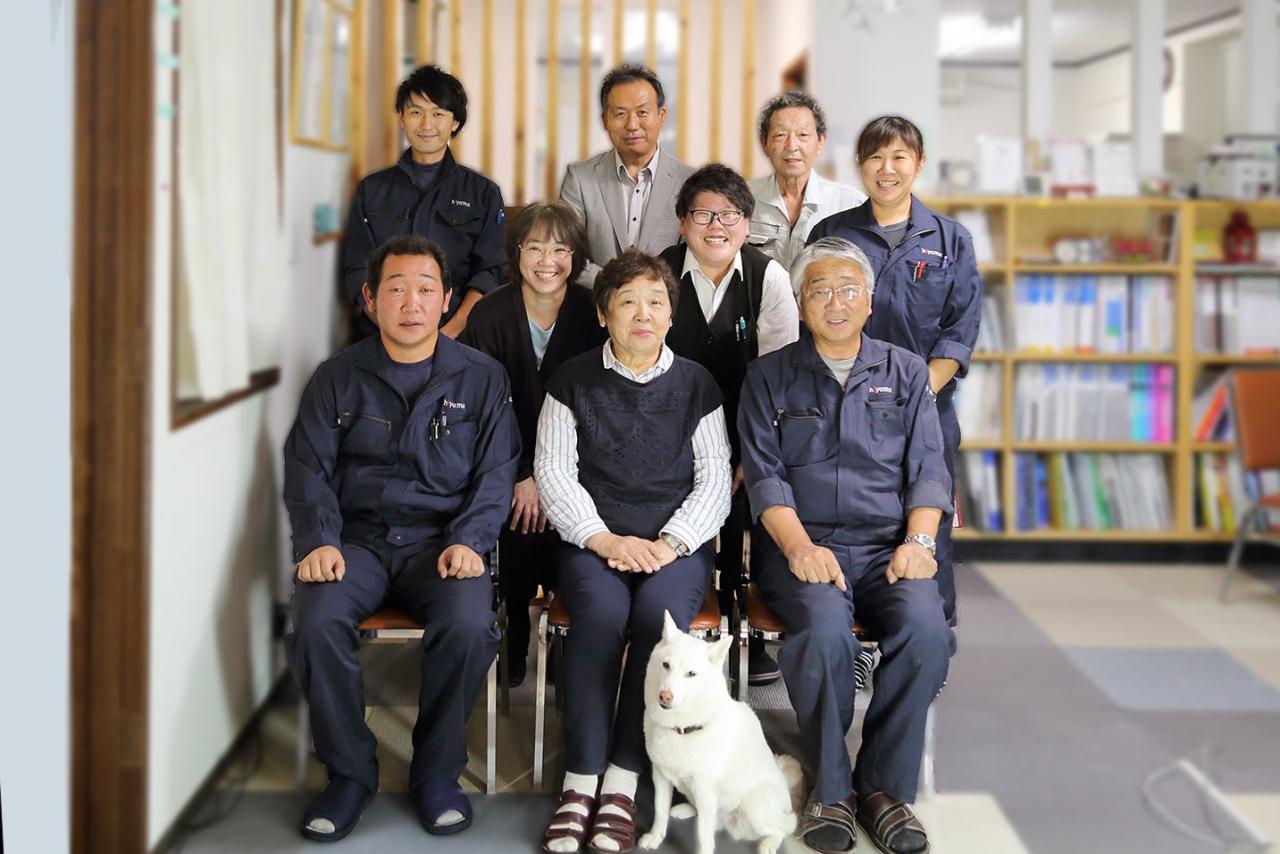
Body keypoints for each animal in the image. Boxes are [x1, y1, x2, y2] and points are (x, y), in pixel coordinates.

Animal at [640, 612, 798, 854]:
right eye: (666, 665)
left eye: (691, 674)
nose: (665, 696)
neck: (683, 729)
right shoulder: (660, 777)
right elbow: (660, 811)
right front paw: (655, 837)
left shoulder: (705, 790)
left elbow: (704, 836)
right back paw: (685, 809)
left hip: (754, 804)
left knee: (783, 828)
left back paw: (769, 843)